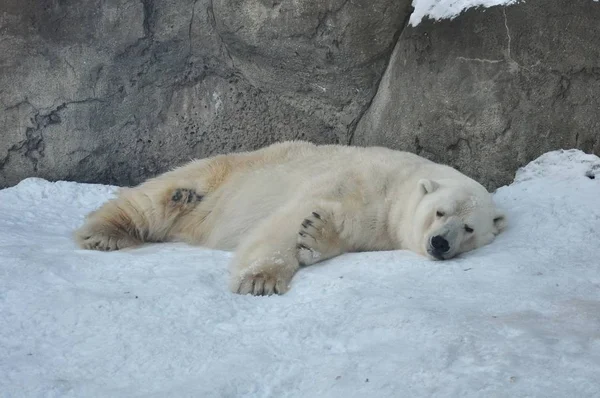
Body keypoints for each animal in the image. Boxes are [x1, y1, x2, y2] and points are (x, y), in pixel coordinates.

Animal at [74, 141, 506, 294]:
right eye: (439, 211)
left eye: (469, 228)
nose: (440, 243)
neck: (394, 186)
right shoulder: (355, 179)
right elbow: (288, 218)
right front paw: (261, 280)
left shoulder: (377, 223)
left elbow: (332, 229)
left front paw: (316, 234)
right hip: (222, 172)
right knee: (154, 196)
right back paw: (106, 232)